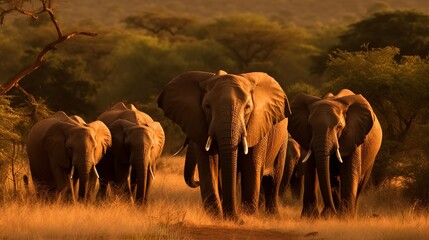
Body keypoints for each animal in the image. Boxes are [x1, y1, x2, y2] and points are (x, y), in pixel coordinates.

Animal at [157, 70, 290, 220]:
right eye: (207, 107)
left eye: (248, 107)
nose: (234, 217)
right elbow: (209, 165)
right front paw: (216, 216)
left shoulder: (258, 125)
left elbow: (251, 166)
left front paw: (247, 216)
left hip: (283, 141)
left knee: (273, 182)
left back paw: (273, 216)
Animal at [288, 88, 382, 218]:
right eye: (310, 126)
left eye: (339, 127)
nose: (329, 210)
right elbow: (311, 169)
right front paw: (310, 217)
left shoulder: (352, 136)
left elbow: (348, 171)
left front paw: (344, 217)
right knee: (334, 181)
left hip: (371, 157)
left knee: (360, 183)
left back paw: (349, 214)